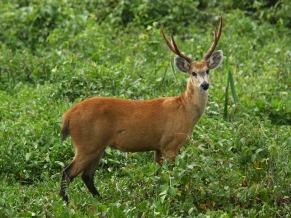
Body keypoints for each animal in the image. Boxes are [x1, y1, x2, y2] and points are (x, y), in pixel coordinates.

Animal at [58, 16, 224, 203]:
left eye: (208, 70)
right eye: (193, 73)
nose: (205, 85)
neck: (184, 109)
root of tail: (68, 116)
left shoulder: (158, 147)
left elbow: (159, 176)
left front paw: (156, 195)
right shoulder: (171, 143)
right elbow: (171, 176)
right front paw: (173, 197)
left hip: (97, 146)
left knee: (87, 175)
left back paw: (101, 200)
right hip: (87, 143)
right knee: (68, 172)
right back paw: (68, 203)